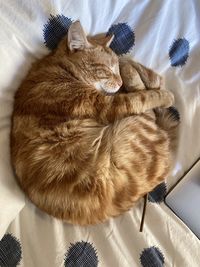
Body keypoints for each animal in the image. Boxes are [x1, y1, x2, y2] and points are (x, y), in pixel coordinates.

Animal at [10, 21, 180, 226]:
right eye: (107, 69)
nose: (119, 81)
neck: (59, 67)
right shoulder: (108, 105)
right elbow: (144, 97)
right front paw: (165, 95)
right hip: (134, 128)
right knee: (146, 103)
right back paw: (138, 72)